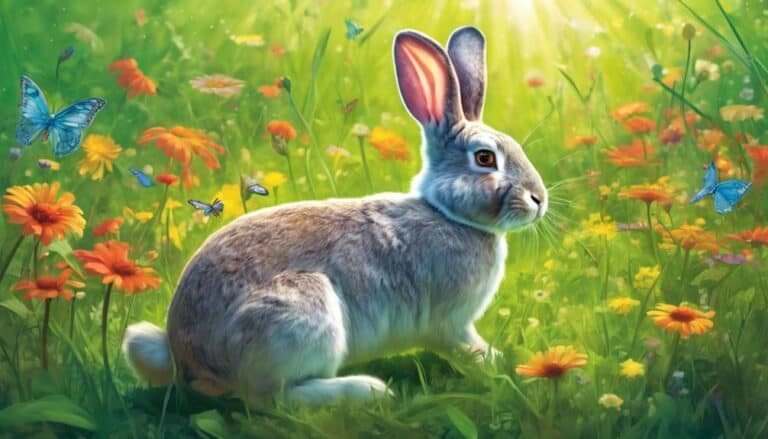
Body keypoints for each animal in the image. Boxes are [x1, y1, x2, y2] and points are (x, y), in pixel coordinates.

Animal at [123, 25, 547, 406]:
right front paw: (501, 363)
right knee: (272, 399)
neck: (450, 216)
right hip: (301, 315)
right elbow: (465, 347)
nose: (539, 199)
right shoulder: (449, 324)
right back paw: (366, 390)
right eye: (485, 158)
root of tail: (187, 357)